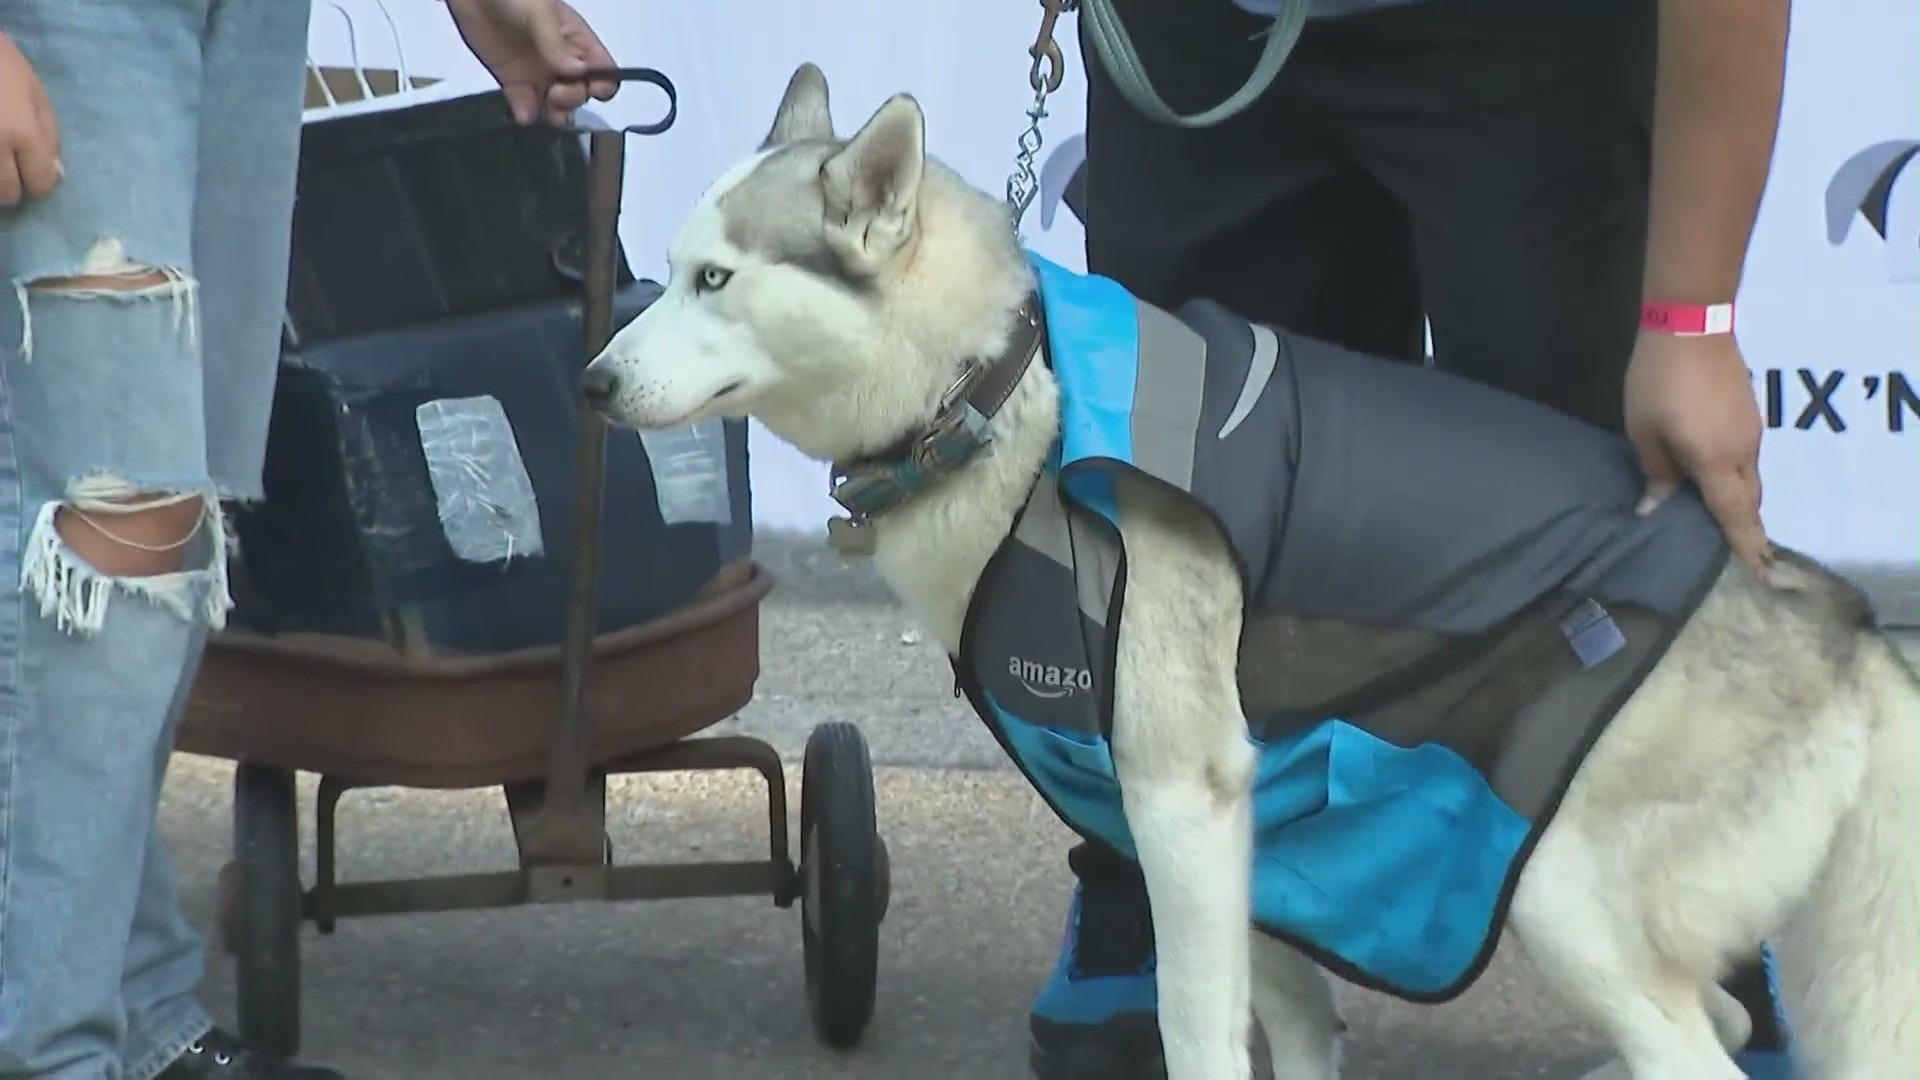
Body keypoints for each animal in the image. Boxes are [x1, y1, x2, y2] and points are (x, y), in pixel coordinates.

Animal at [579, 62, 1920, 1068]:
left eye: (715, 280)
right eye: (674, 267)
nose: (590, 382)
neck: (1004, 390)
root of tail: (1849, 627)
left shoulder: (1184, 798)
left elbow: (1194, 1029)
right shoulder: (1250, 834)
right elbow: (1288, 1026)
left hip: (1564, 899)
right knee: (1729, 1017)